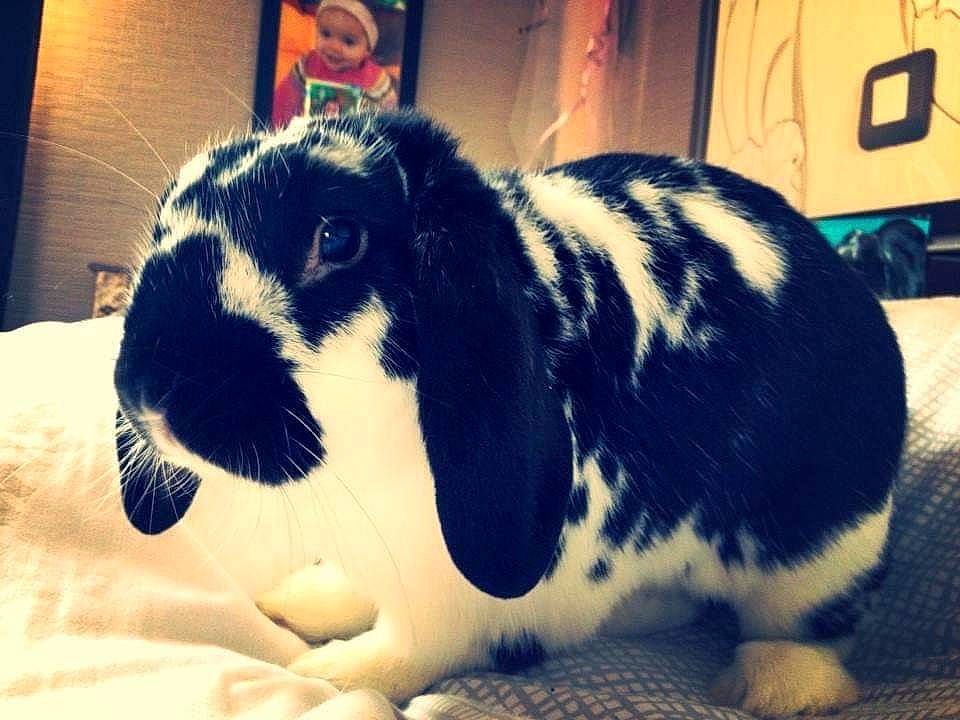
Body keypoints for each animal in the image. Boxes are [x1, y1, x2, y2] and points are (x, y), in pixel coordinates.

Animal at [113, 110, 906, 717]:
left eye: (336, 239)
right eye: (160, 228)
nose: (150, 394)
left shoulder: (450, 595)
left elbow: (416, 648)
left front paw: (330, 675)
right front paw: (301, 605)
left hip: (819, 553)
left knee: (816, 633)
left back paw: (769, 686)